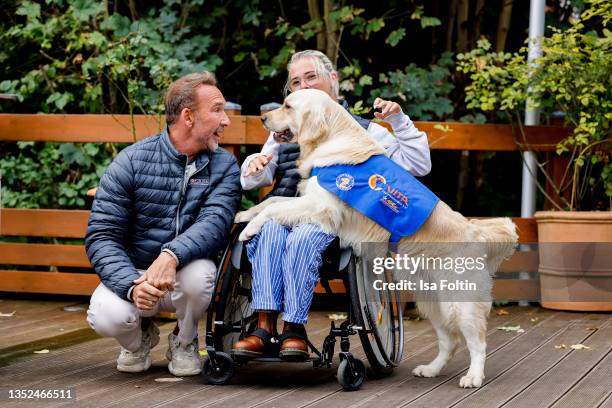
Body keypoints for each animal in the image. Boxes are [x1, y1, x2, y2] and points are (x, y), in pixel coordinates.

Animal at [234, 87, 516, 388]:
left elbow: (273, 208)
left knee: (477, 342)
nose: (262, 118)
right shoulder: (310, 199)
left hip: (459, 302)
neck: (332, 139)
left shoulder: (322, 207)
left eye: (288, 106)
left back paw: (473, 376)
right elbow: (272, 200)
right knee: (448, 341)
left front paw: (251, 227)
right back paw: (430, 369)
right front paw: (244, 214)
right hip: (432, 299)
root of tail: (477, 231)